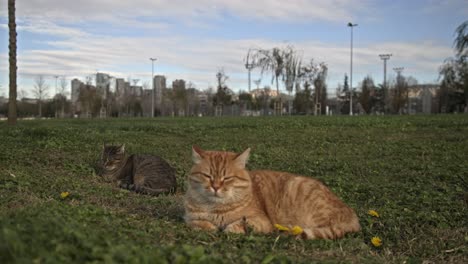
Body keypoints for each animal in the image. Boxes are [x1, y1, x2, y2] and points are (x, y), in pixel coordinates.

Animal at [185, 146, 360, 239]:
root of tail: (352, 214)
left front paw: (229, 228)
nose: (215, 187)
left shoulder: (261, 221)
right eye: (207, 176)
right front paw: (209, 226)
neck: (215, 208)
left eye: (227, 178)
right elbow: (198, 223)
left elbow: (237, 225)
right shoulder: (189, 218)